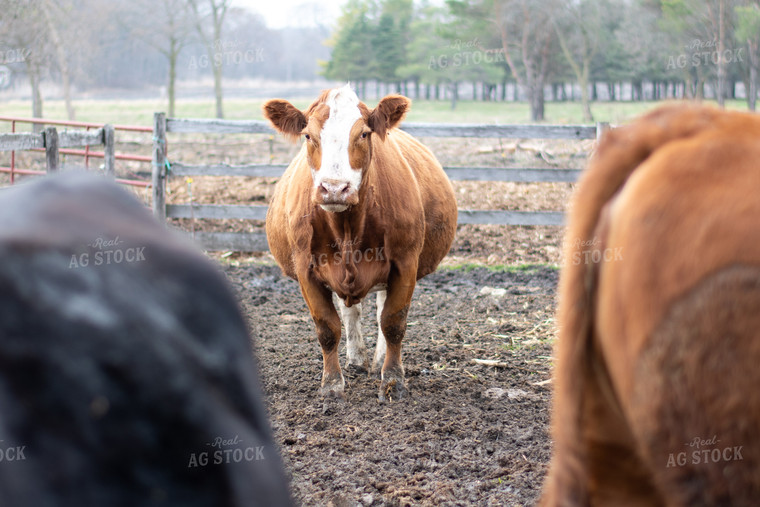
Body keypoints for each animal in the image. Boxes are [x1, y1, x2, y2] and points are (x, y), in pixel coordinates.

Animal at [262, 85, 458, 402]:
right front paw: (331, 384)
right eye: (308, 135)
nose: (334, 188)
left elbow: (393, 322)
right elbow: (327, 327)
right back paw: (356, 359)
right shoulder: (306, 270)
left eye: (364, 133)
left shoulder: (405, 263)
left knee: (379, 310)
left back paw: (377, 361)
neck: (346, 228)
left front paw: (393, 380)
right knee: (350, 311)